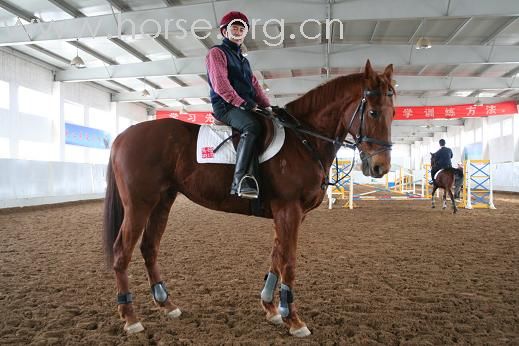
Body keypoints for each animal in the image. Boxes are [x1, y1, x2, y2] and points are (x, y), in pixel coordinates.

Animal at [104, 60, 398, 338]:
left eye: (393, 113)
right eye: (373, 112)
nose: (380, 167)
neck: (304, 140)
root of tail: (123, 135)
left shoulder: (292, 214)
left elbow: (276, 256)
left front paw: (271, 307)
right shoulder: (289, 210)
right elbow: (288, 261)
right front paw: (293, 320)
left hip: (162, 202)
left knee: (149, 247)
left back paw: (166, 305)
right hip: (139, 205)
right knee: (122, 252)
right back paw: (130, 318)